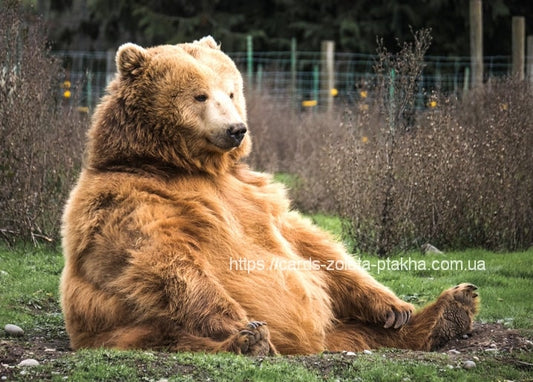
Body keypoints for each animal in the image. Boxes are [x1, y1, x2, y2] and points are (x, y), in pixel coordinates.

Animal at [59, 36, 478, 356]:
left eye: (231, 91)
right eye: (199, 96)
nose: (236, 129)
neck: (184, 165)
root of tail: (314, 344)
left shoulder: (254, 194)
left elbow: (311, 244)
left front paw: (394, 306)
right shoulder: (130, 200)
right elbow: (163, 260)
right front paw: (242, 325)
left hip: (339, 325)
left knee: (363, 330)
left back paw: (449, 310)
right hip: (127, 327)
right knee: (174, 334)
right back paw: (250, 341)